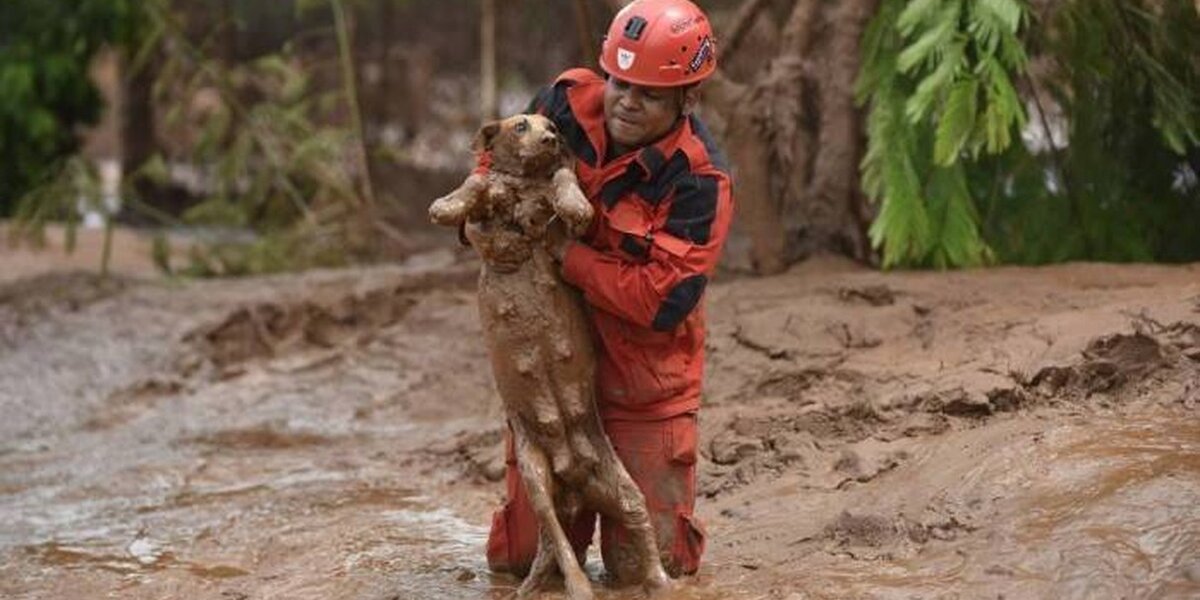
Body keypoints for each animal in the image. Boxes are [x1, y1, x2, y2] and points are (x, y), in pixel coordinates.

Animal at [432, 113, 676, 600]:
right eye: (520, 126)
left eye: (553, 128)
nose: (551, 139)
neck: (525, 182)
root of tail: (575, 484)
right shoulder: (489, 200)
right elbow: (477, 182)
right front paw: (447, 205)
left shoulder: (558, 194)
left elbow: (564, 180)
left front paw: (575, 205)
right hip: (535, 477)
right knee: (558, 542)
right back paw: (566, 584)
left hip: (623, 487)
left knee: (636, 527)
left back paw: (657, 581)